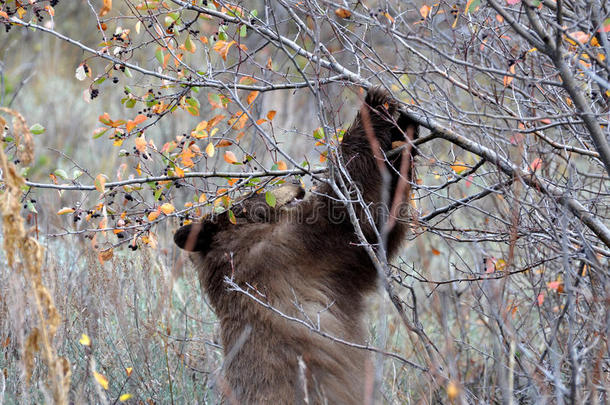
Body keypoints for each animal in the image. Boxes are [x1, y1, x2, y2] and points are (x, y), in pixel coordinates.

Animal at [173, 89, 416, 404]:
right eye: (255, 190)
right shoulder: (288, 251)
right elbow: (351, 216)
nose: (294, 181)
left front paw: (406, 131)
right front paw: (374, 107)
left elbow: (378, 229)